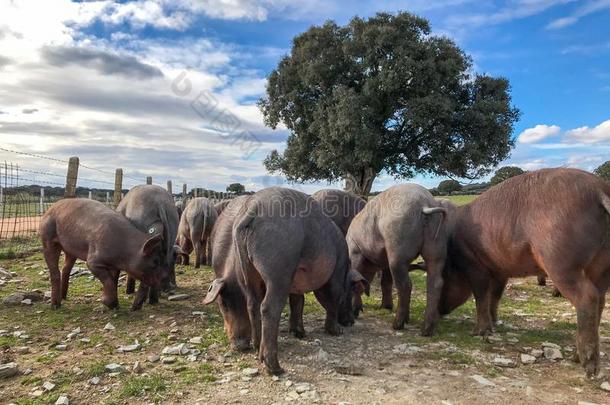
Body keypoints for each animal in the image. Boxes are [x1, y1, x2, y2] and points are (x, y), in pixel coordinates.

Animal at [202, 188, 364, 374]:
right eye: (352, 289)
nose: (351, 321)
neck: (346, 267)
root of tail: (252, 209)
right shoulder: (336, 272)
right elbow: (332, 299)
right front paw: (336, 331)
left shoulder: (295, 283)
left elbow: (298, 302)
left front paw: (300, 333)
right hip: (278, 268)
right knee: (268, 307)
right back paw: (275, 367)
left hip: (247, 269)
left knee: (252, 303)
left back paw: (257, 348)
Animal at [346, 184, 452, 334]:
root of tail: (425, 204)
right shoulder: (383, 262)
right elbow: (384, 282)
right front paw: (385, 307)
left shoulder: (355, 251)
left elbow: (360, 283)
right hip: (437, 245)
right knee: (436, 282)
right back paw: (426, 330)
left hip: (397, 250)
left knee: (405, 285)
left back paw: (397, 325)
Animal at [436, 167, 608, 376]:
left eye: (444, 279)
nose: (439, 310)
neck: (456, 256)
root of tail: (599, 189)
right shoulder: (500, 271)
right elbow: (495, 296)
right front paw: (495, 323)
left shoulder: (474, 265)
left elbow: (481, 296)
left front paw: (478, 332)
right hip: (601, 265)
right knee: (600, 299)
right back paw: (575, 357)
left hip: (561, 261)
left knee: (588, 297)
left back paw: (587, 367)